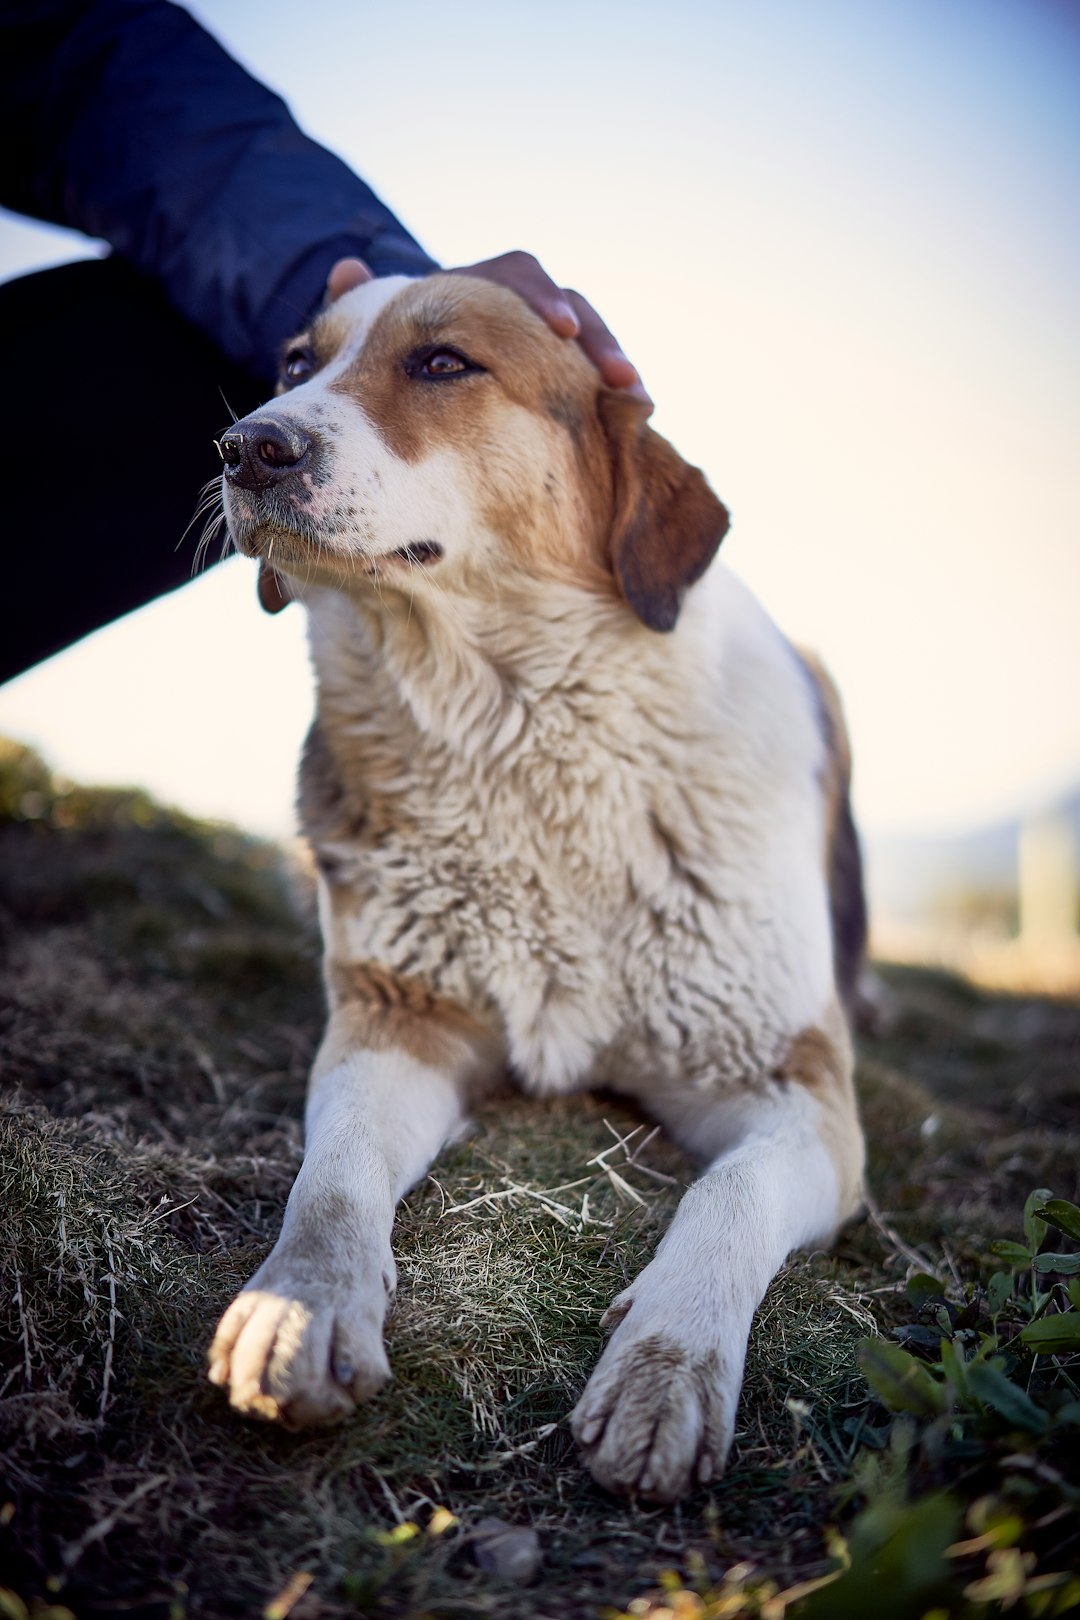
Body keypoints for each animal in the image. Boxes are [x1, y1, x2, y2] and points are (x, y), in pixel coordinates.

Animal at [204, 272, 867, 1496]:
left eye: (444, 364)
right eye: (293, 364)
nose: (245, 445)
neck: (518, 732)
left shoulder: (794, 1087)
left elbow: (728, 1194)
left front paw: (665, 1369)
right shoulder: (399, 1019)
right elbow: (333, 1174)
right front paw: (300, 1307)